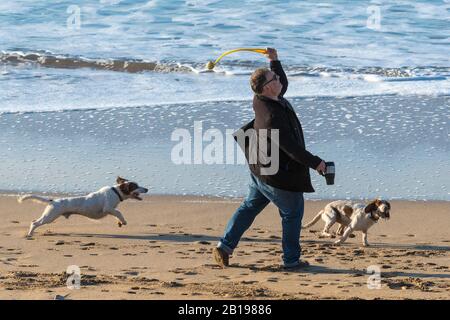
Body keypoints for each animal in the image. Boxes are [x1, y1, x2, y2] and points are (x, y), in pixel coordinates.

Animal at [18, 176, 148, 236]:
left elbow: (117, 213)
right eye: (136, 186)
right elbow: (119, 212)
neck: (116, 192)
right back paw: (30, 234)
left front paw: (120, 222)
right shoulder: (108, 208)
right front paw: (123, 221)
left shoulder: (111, 209)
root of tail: (53, 201)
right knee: (34, 223)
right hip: (50, 216)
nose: (147, 189)